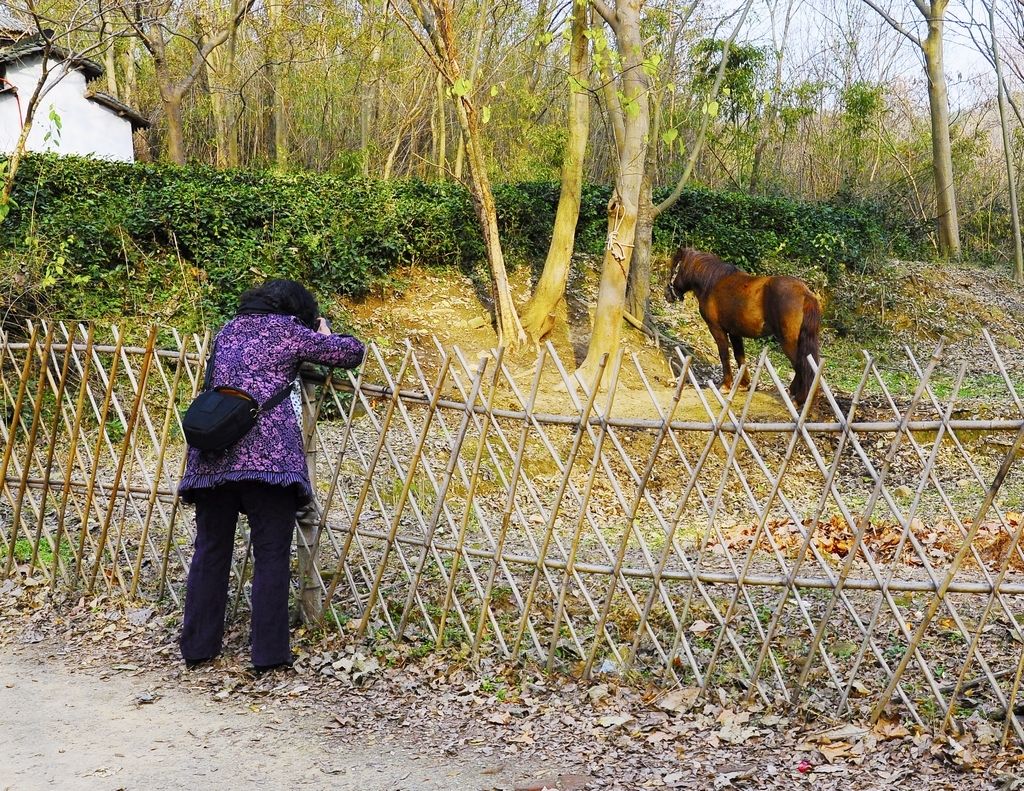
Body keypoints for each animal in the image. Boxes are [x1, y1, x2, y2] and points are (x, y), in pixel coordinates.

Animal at [664, 247, 822, 406]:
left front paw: (726, 385)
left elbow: (724, 355)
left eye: (674, 268)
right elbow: (740, 356)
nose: (667, 294)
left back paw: (799, 399)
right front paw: (743, 384)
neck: (712, 283)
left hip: (788, 342)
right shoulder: (735, 332)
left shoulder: (717, 329)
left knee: (801, 366)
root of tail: (805, 293)